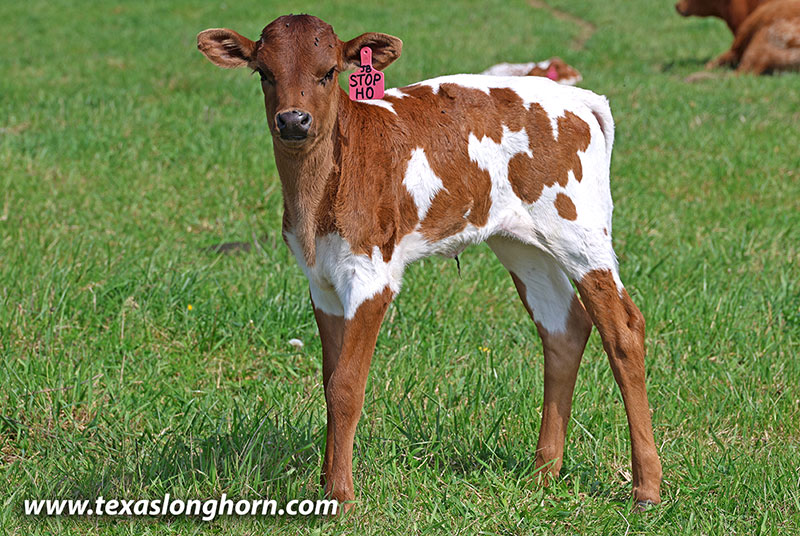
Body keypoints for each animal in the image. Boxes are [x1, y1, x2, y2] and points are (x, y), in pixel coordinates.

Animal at [197, 14, 663, 511]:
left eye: (329, 72)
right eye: (264, 73)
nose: (292, 120)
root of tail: (581, 99)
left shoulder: (372, 275)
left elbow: (346, 387)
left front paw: (340, 499)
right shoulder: (321, 281)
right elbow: (328, 379)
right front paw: (325, 487)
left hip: (581, 231)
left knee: (623, 329)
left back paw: (646, 487)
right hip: (521, 242)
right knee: (564, 326)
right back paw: (543, 472)